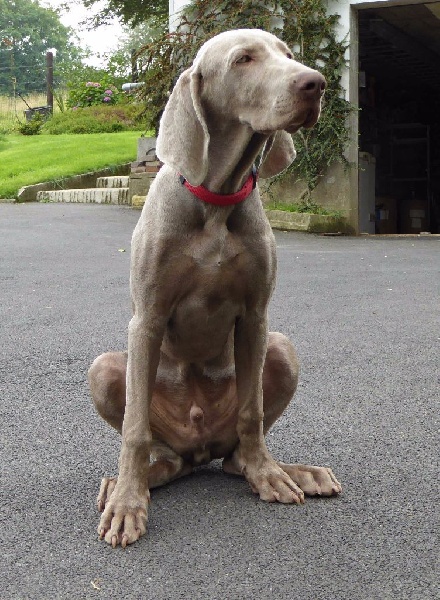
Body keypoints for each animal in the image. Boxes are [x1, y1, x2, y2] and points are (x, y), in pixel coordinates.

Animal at [89, 28, 342, 548]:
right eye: (244, 59)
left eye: (289, 54)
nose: (316, 83)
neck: (217, 200)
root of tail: (198, 446)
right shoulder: (147, 318)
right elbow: (133, 430)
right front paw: (126, 505)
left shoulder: (257, 316)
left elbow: (252, 414)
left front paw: (268, 475)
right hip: (105, 370)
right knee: (162, 454)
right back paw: (124, 484)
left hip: (280, 349)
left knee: (235, 454)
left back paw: (289, 471)